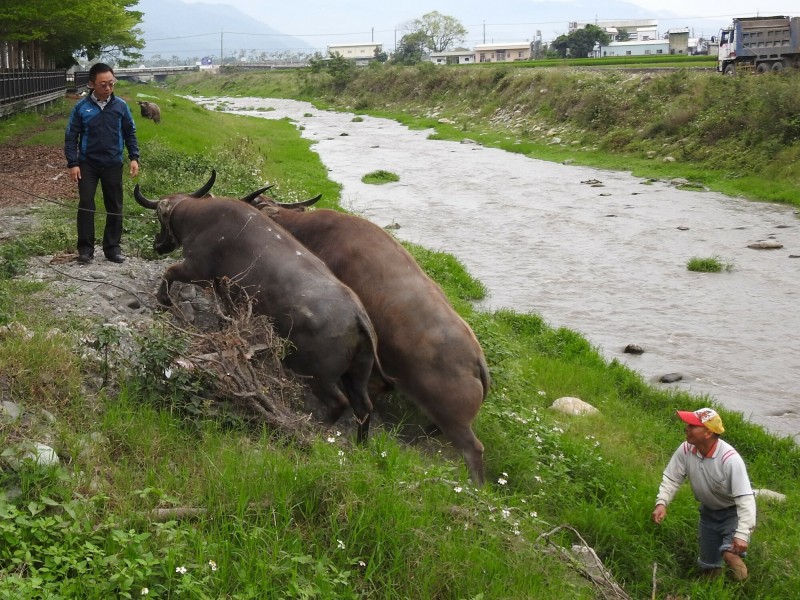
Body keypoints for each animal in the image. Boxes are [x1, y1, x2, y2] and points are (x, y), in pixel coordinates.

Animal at [132, 171, 382, 438]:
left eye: (159, 219)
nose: (158, 244)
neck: (197, 215)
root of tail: (359, 317)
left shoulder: (197, 270)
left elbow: (170, 272)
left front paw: (164, 299)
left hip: (318, 376)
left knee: (339, 403)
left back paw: (320, 428)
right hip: (356, 376)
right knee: (364, 406)